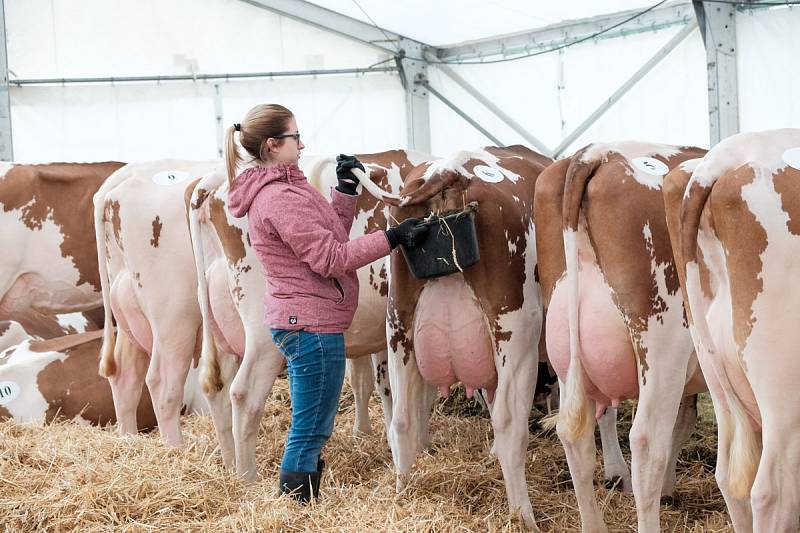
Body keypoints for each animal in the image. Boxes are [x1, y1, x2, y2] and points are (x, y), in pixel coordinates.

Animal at [94, 160, 219, 442]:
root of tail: (128, 173)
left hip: (128, 305)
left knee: (125, 376)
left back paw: (129, 441)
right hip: (174, 317)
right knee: (163, 385)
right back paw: (176, 448)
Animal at [364, 144, 556, 528]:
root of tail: (449, 170)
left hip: (399, 326)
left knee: (401, 420)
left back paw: (403, 496)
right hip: (516, 332)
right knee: (509, 424)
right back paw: (523, 517)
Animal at [536, 142, 708, 532]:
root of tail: (596, 153)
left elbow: (684, 422)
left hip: (567, 355)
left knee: (576, 439)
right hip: (662, 347)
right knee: (646, 441)